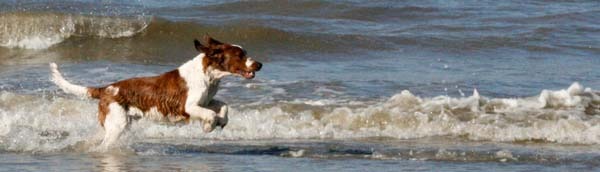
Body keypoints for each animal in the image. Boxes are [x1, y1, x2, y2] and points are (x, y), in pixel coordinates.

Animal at [49, 36, 260, 148]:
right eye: (240, 55)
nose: (259, 64)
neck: (207, 74)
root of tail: (106, 88)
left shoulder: (206, 101)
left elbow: (223, 105)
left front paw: (221, 121)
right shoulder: (188, 106)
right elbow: (210, 114)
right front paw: (209, 126)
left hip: (119, 123)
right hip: (117, 124)